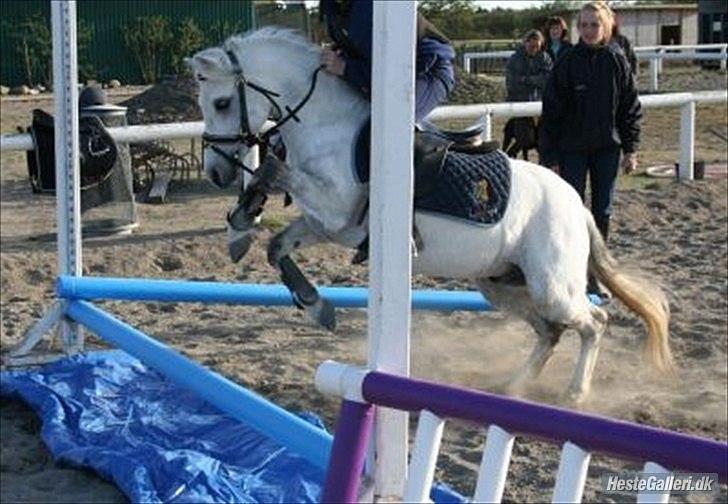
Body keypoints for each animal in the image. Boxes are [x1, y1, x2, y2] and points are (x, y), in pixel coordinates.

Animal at [186, 28, 672, 406]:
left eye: (223, 102)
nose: (216, 173)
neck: (327, 125)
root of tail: (576, 203)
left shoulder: (337, 207)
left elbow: (270, 169)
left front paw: (245, 226)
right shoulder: (328, 225)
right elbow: (276, 245)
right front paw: (310, 299)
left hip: (551, 286)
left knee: (591, 323)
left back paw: (575, 392)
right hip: (500, 284)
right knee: (549, 332)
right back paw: (512, 386)